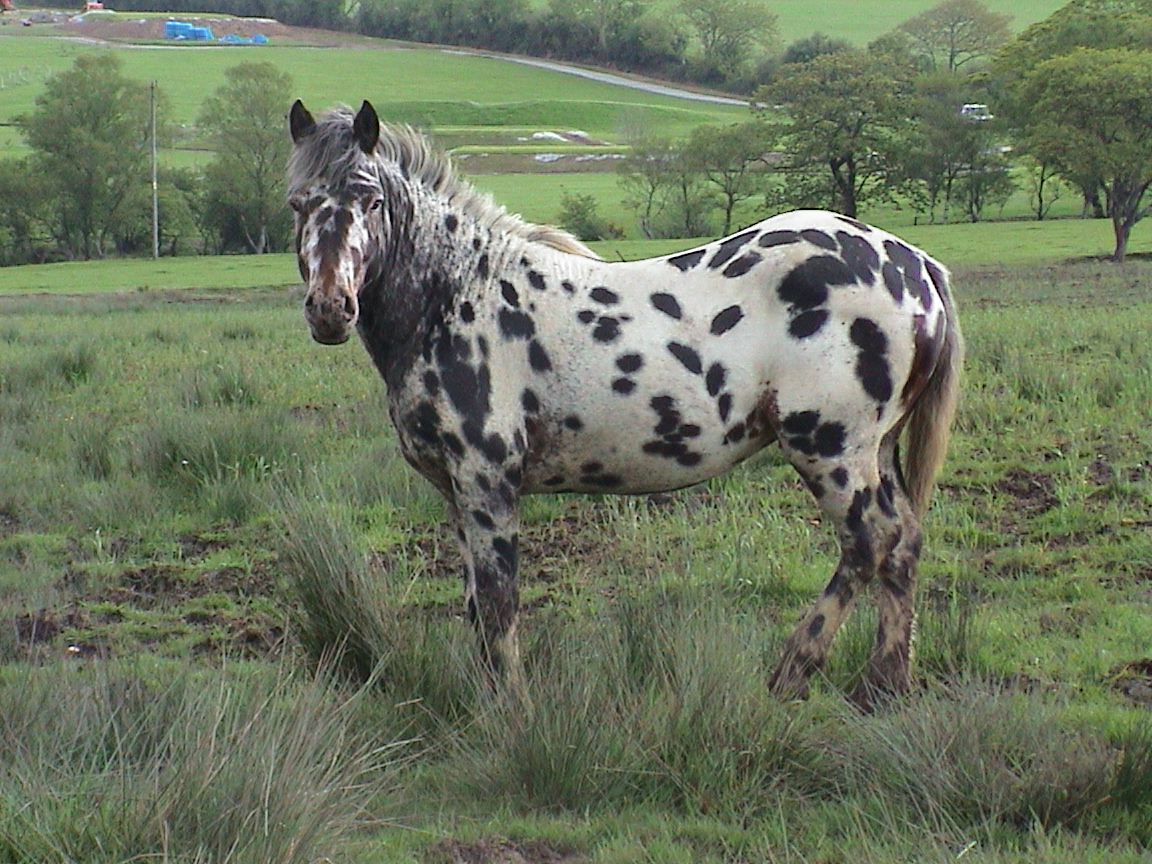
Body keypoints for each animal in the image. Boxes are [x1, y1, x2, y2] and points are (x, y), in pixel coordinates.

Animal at [286, 100, 963, 708]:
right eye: (298, 202)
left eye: (372, 200)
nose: (330, 309)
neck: (458, 295)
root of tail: (917, 264)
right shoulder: (456, 493)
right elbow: (477, 604)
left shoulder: (487, 480)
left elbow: (500, 605)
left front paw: (509, 712)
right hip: (876, 451)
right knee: (903, 544)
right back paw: (884, 687)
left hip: (832, 449)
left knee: (870, 542)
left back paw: (790, 674)